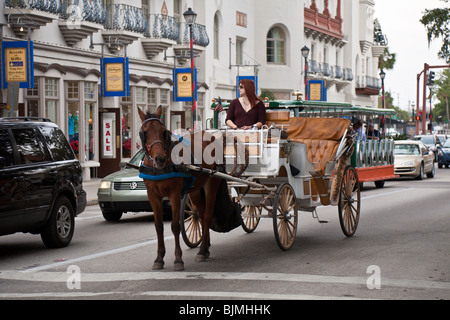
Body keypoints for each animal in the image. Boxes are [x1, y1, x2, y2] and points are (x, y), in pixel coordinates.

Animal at [136, 105, 224, 270]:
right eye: (144, 132)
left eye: (163, 131)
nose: (160, 158)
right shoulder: (153, 196)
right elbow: (159, 226)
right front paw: (159, 258)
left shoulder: (174, 194)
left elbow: (175, 226)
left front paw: (178, 259)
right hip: (195, 189)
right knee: (201, 215)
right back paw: (205, 248)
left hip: (211, 183)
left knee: (207, 216)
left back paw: (202, 250)